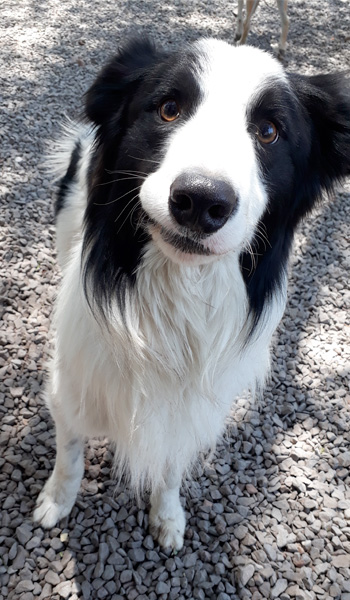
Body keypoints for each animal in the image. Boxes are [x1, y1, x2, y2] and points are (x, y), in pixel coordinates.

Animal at [33, 36, 350, 548]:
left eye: (268, 131)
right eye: (168, 108)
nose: (201, 200)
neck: (176, 292)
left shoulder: (190, 412)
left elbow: (170, 466)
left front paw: (167, 516)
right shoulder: (72, 385)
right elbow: (71, 451)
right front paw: (55, 501)